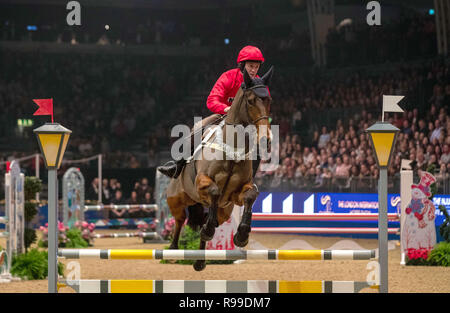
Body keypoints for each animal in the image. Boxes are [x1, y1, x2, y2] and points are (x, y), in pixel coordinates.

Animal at [163, 66, 272, 270]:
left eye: (269, 100)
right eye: (251, 101)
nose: (265, 140)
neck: (232, 150)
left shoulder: (235, 195)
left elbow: (250, 195)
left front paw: (242, 236)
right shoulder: (202, 182)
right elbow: (214, 190)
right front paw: (211, 227)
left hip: (224, 211)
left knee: (205, 225)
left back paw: (199, 260)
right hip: (176, 199)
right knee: (180, 220)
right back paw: (172, 250)